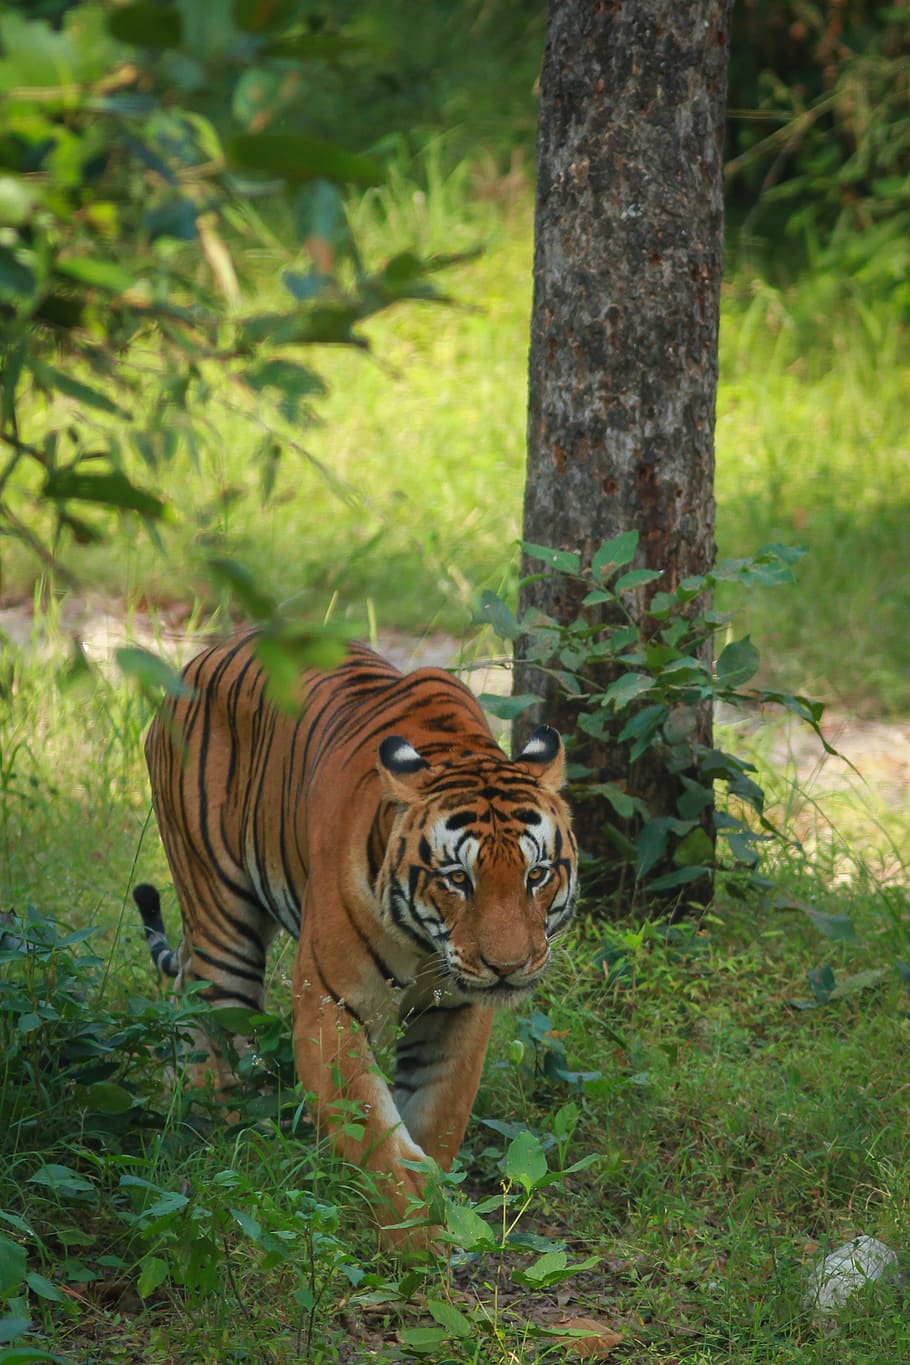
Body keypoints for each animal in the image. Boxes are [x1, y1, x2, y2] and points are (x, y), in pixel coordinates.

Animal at [135, 627, 575, 1250]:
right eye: (458, 879)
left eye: (535, 875)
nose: (508, 967)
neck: (427, 947)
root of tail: (205, 653)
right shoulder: (329, 1006)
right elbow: (374, 1134)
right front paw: (417, 1240)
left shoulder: (459, 1012)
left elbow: (437, 1117)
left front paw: (439, 1210)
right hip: (222, 921)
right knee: (217, 1032)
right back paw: (227, 1140)